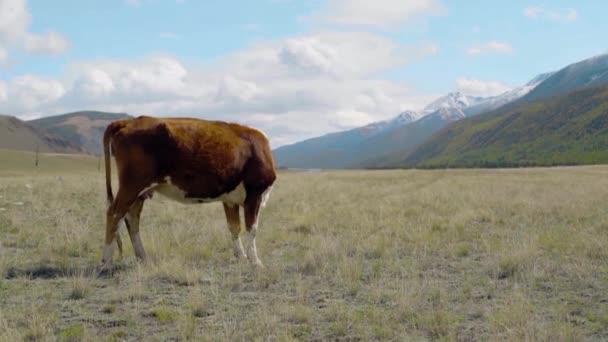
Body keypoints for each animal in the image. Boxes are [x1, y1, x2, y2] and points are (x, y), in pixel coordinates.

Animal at [102, 117, 278, 270]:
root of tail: (128, 121)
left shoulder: (230, 199)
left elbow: (234, 227)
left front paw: (241, 257)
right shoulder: (255, 194)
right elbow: (252, 228)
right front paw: (255, 261)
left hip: (140, 193)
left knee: (132, 219)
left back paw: (143, 257)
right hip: (132, 185)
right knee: (114, 214)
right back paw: (106, 262)